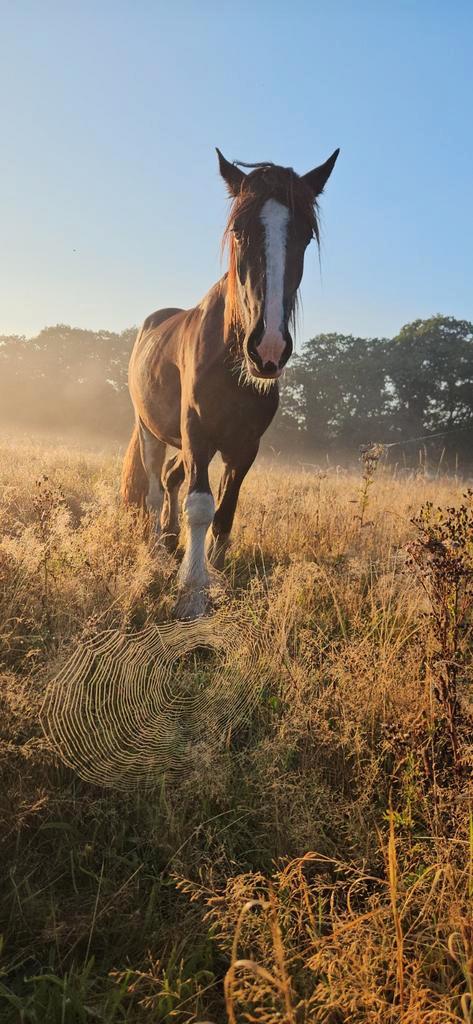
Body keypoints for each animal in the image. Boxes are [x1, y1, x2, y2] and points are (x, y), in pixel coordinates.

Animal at [121, 147, 339, 618]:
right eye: (239, 231)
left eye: (306, 235)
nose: (269, 348)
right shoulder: (198, 432)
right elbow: (200, 506)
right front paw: (192, 591)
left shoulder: (244, 445)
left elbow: (226, 510)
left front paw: (216, 574)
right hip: (152, 431)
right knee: (154, 487)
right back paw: (156, 550)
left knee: (171, 479)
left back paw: (170, 541)